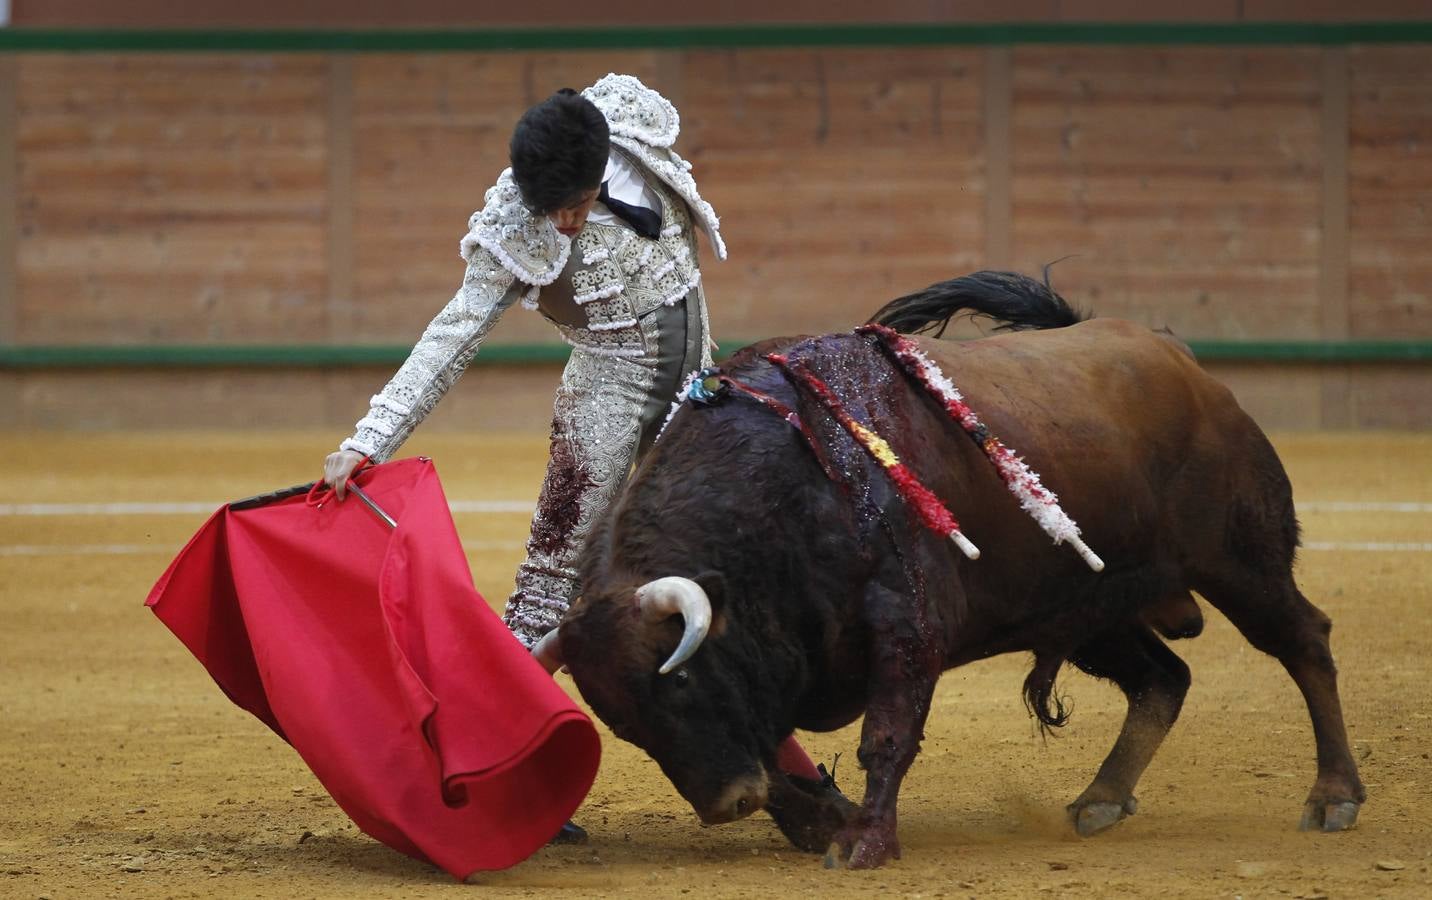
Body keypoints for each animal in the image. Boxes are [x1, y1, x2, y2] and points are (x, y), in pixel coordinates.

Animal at [538, 272, 1363, 865]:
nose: (725, 804)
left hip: (1240, 562)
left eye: (681, 683)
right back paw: (1099, 799)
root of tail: (1183, 363)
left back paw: (1334, 796)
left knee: (1305, 640)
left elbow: (886, 736)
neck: (783, 491)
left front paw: (863, 842)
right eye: (625, 724)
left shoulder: (908, 624)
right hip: (1089, 606)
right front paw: (825, 820)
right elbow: (778, 755)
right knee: (1164, 678)